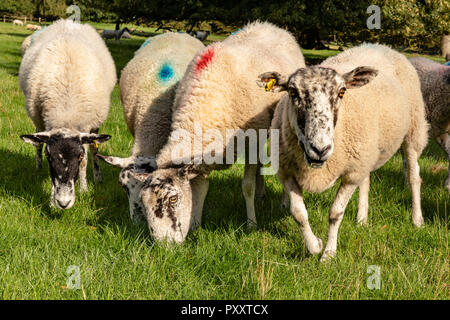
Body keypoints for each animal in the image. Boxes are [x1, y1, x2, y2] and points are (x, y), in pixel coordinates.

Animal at [18, 19, 117, 210]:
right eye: (49, 156)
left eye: (79, 155)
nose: (63, 203)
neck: (66, 111)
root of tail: (69, 21)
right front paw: (51, 200)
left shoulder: (86, 128)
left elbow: (86, 160)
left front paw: (84, 189)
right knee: (37, 142)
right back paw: (37, 167)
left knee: (94, 150)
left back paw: (97, 176)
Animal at [134, 21, 306, 244]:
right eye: (143, 203)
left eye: (173, 198)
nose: (164, 246)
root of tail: (269, 25)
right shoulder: (204, 156)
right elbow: (201, 188)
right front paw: (196, 225)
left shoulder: (250, 143)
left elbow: (247, 186)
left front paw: (251, 224)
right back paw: (262, 195)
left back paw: (283, 201)